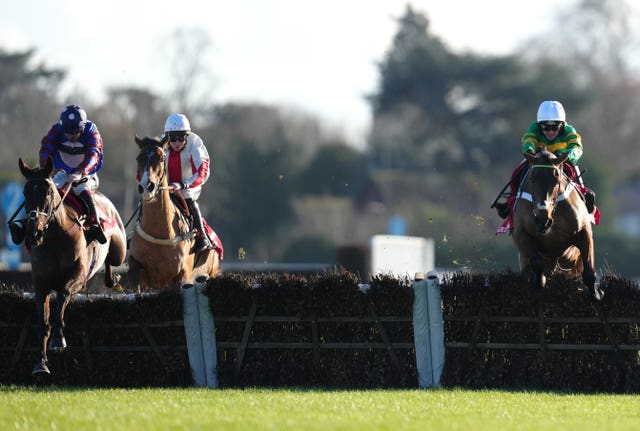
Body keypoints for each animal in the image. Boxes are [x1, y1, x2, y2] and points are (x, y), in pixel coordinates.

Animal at [18, 157, 127, 376]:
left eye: (48, 192)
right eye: (26, 193)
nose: (34, 233)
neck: (55, 236)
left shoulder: (76, 277)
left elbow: (62, 295)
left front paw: (58, 339)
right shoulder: (40, 284)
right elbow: (43, 322)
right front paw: (40, 363)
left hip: (119, 250)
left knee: (112, 261)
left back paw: (113, 277)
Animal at [127, 137, 222, 292]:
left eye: (161, 158)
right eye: (138, 158)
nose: (147, 186)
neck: (160, 233)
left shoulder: (181, 276)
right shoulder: (140, 269)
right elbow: (134, 275)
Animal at [510, 150, 604, 302]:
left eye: (557, 180)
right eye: (532, 179)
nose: (542, 220)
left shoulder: (584, 233)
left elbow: (589, 272)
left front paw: (596, 294)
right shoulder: (521, 233)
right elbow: (536, 263)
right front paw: (539, 281)